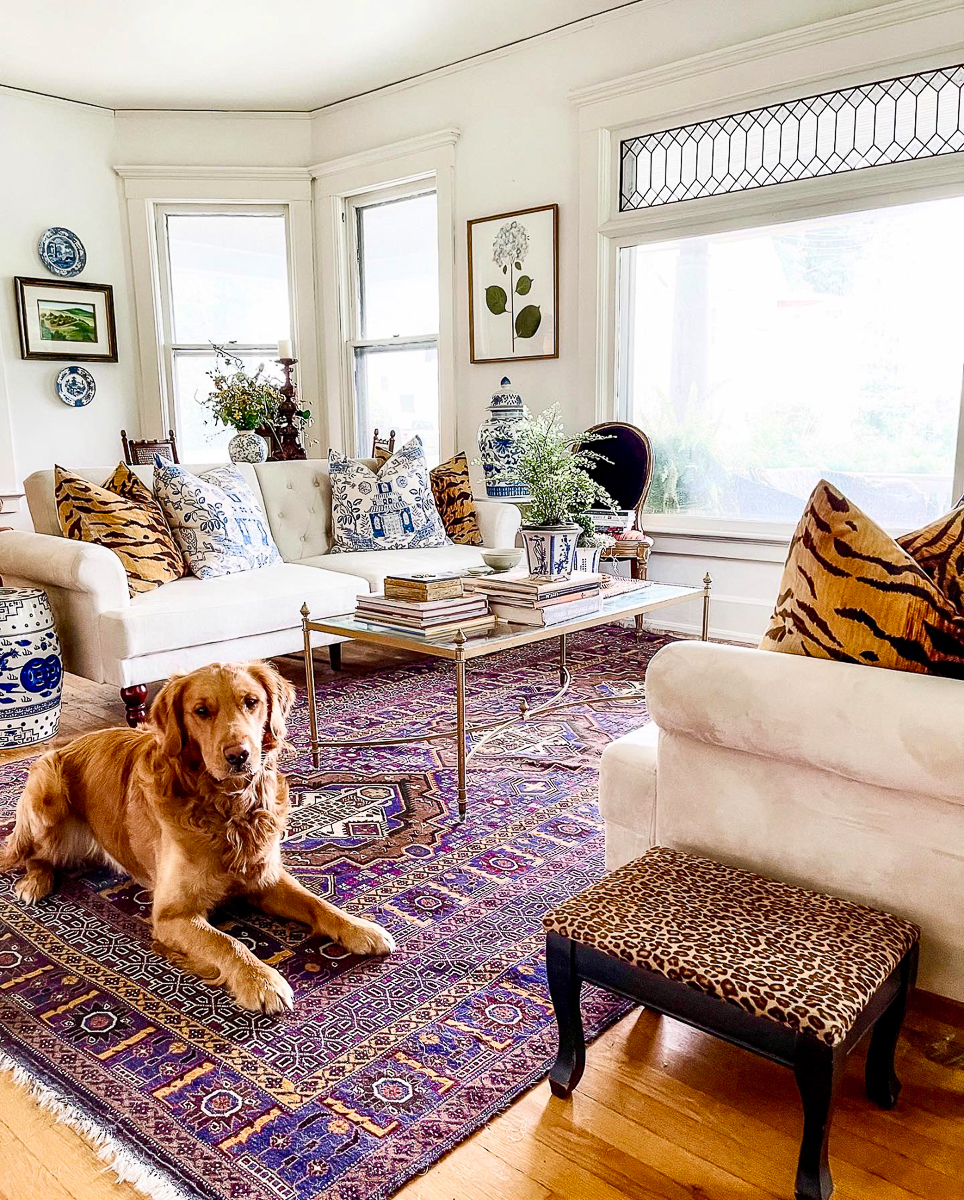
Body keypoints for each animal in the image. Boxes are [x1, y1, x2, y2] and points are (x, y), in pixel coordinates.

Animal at [0, 662, 393, 1017]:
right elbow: (229, 943)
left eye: (251, 702)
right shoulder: (172, 914)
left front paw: (359, 927)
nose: (239, 755)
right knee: (33, 856)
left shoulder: (265, 877)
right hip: (48, 793)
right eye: (201, 711)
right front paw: (262, 981)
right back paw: (33, 884)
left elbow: (318, 904)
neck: (228, 807)